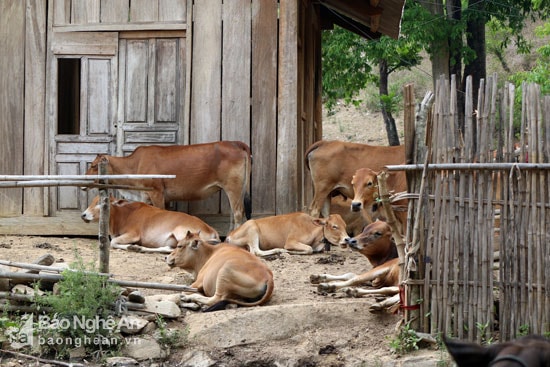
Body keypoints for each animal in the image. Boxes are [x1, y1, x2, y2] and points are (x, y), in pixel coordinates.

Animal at [82, 197, 220, 254]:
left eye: (100, 202)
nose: (83, 215)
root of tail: (211, 229)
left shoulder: (133, 234)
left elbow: (113, 242)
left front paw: (131, 246)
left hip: (182, 233)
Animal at [85, 142, 252, 230]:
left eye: (93, 166)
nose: (84, 182)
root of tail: (237, 143)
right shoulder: (146, 194)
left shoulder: (157, 192)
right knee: (233, 214)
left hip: (233, 187)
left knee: (238, 213)